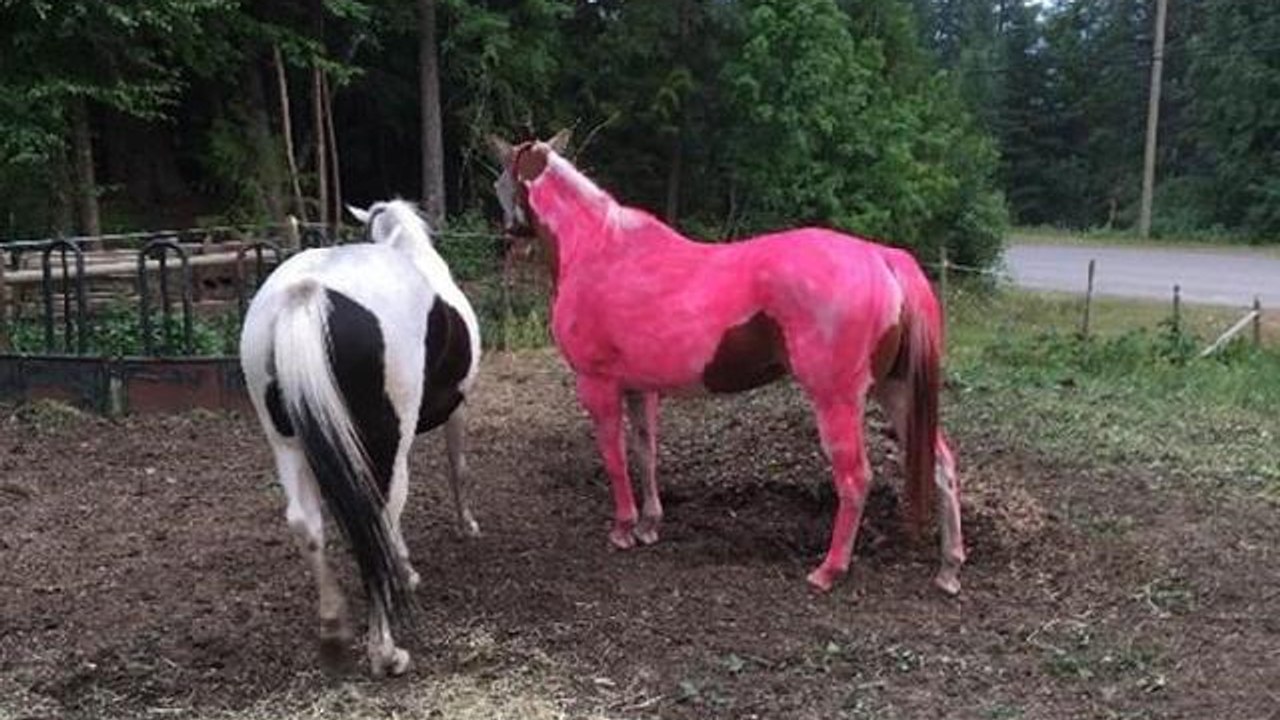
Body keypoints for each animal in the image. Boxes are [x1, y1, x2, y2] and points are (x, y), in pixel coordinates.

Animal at [238, 199, 481, 676]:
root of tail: (309, 291)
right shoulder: (457, 408)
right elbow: (457, 468)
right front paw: (462, 530)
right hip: (387, 443)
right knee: (379, 513)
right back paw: (386, 652)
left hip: (287, 444)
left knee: (305, 522)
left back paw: (334, 629)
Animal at [489, 132, 964, 595]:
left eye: (499, 182)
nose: (509, 239)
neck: (600, 247)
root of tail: (883, 258)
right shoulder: (641, 387)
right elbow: (645, 451)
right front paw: (649, 525)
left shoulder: (597, 383)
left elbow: (614, 455)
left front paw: (624, 529)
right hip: (895, 390)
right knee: (941, 464)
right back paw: (949, 568)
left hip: (838, 399)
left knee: (854, 479)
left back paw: (829, 570)